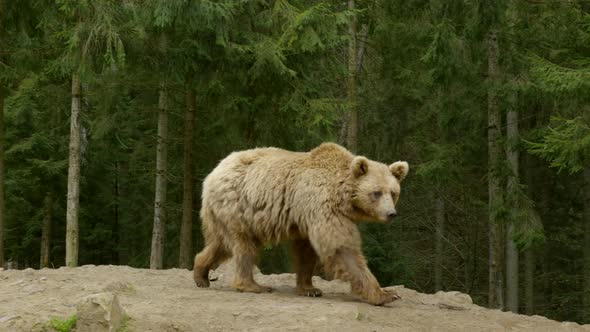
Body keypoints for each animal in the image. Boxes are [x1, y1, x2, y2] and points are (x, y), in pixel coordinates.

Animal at [194, 141, 412, 304]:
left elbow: (307, 253)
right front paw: (386, 294)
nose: (391, 213)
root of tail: (214, 171)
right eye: (376, 192)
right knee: (243, 246)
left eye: (393, 192)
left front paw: (310, 288)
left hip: (226, 214)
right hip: (238, 205)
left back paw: (201, 274)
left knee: (220, 244)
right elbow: (342, 248)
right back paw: (253, 285)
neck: (342, 197)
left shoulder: (306, 217)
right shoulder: (321, 206)